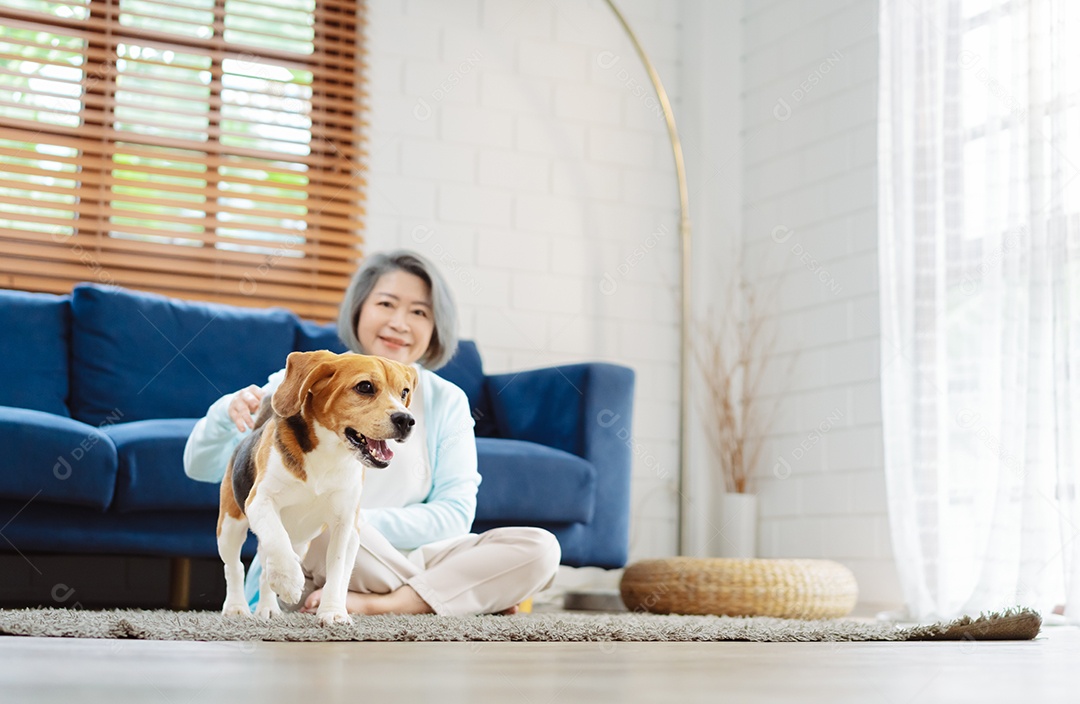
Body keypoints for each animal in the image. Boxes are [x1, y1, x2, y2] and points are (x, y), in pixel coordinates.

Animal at [216, 349, 416, 626]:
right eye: (365, 387)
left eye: (404, 392)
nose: (406, 420)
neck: (329, 454)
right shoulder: (260, 501)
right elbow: (277, 541)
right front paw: (289, 582)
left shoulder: (346, 523)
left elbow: (338, 569)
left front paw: (333, 612)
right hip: (230, 525)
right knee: (235, 566)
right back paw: (236, 607)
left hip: (301, 542)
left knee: (267, 569)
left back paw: (268, 607)